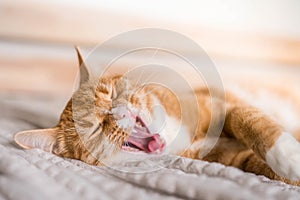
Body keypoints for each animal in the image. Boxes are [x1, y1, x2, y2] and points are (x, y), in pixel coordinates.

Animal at [14, 47, 300, 186]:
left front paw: (288, 155)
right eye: (96, 128)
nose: (120, 110)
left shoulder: (225, 105)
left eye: (112, 94)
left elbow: (249, 119)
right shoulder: (236, 159)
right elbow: (261, 167)